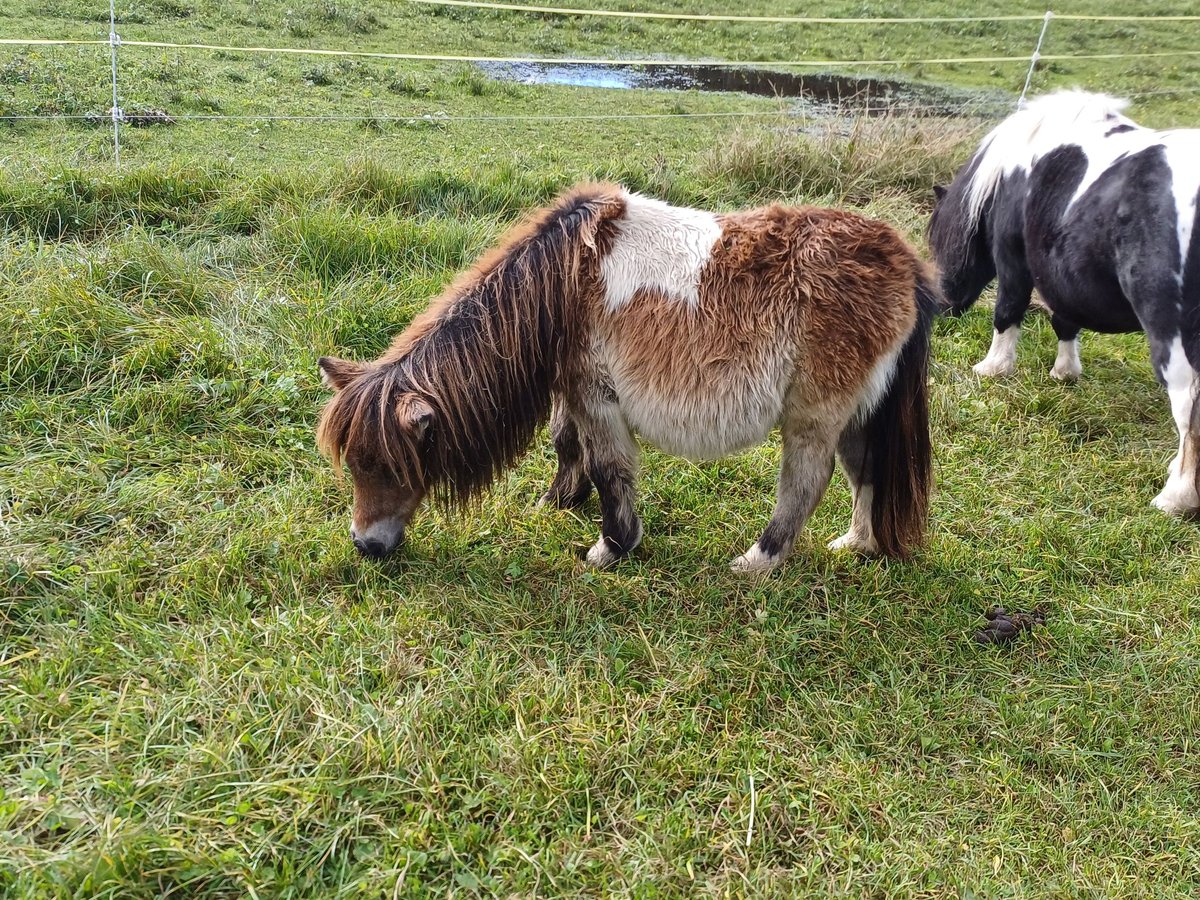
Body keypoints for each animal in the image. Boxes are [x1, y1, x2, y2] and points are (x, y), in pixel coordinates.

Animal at [316, 183, 936, 573]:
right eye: (355, 463)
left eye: (386, 465)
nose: (365, 545)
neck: (560, 281)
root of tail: (905, 263)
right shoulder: (572, 387)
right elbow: (566, 443)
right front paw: (558, 501)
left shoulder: (596, 395)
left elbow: (609, 468)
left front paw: (612, 546)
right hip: (859, 410)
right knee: (865, 468)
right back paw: (857, 543)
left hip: (814, 413)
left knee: (807, 481)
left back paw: (758, 561)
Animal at [926, 92, 1200, 518]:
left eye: (938, 239)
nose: (943, 305)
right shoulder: (1060, 272)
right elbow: (1065, 322)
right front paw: (1065, 372)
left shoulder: (1015, 261)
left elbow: (1008, 311)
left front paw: (993, 367)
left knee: (1188, 409)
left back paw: (1176, 497)